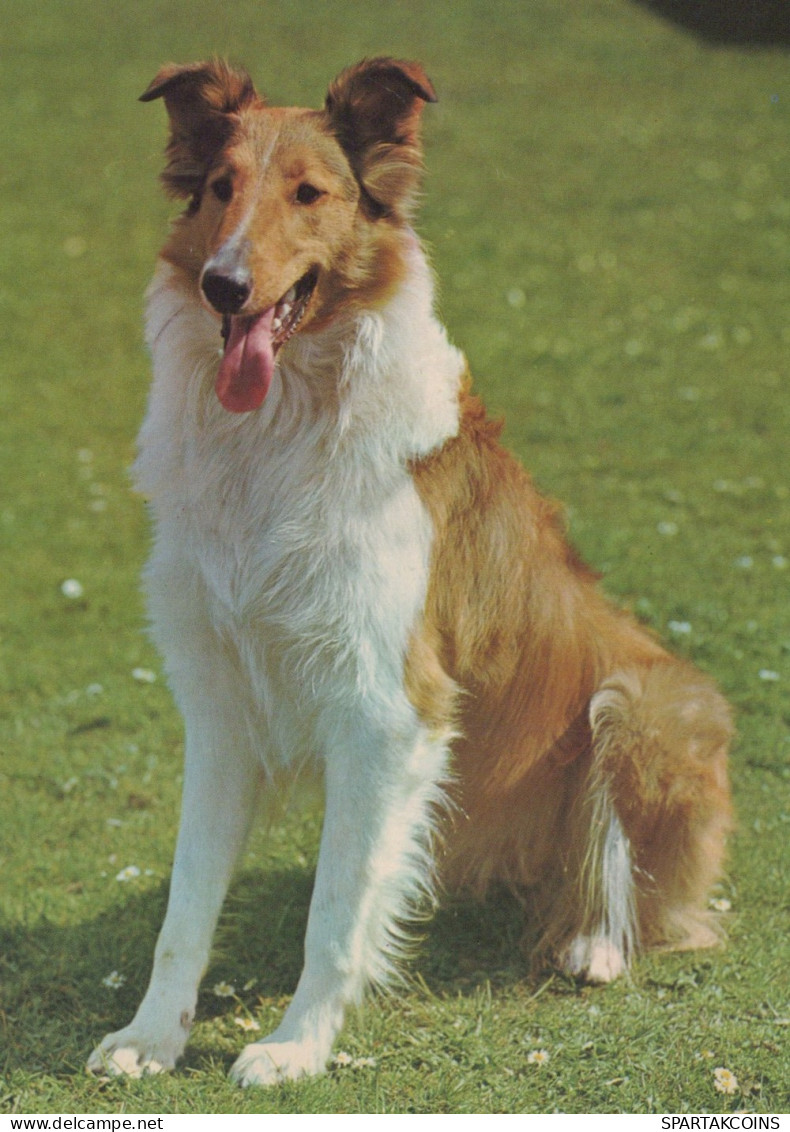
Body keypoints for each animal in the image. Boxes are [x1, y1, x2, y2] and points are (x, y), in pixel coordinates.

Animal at [84, 57, 724, 1082]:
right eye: (220, 187)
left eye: (310, 194)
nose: (225, 287)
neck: (276, 436)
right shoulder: (219, 706)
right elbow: (185, 908)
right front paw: (151, 1038)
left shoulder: (387, 708)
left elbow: (336, 918)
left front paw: (295, 1048)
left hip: (642, 703)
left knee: (646, 893)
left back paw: (592, 942)